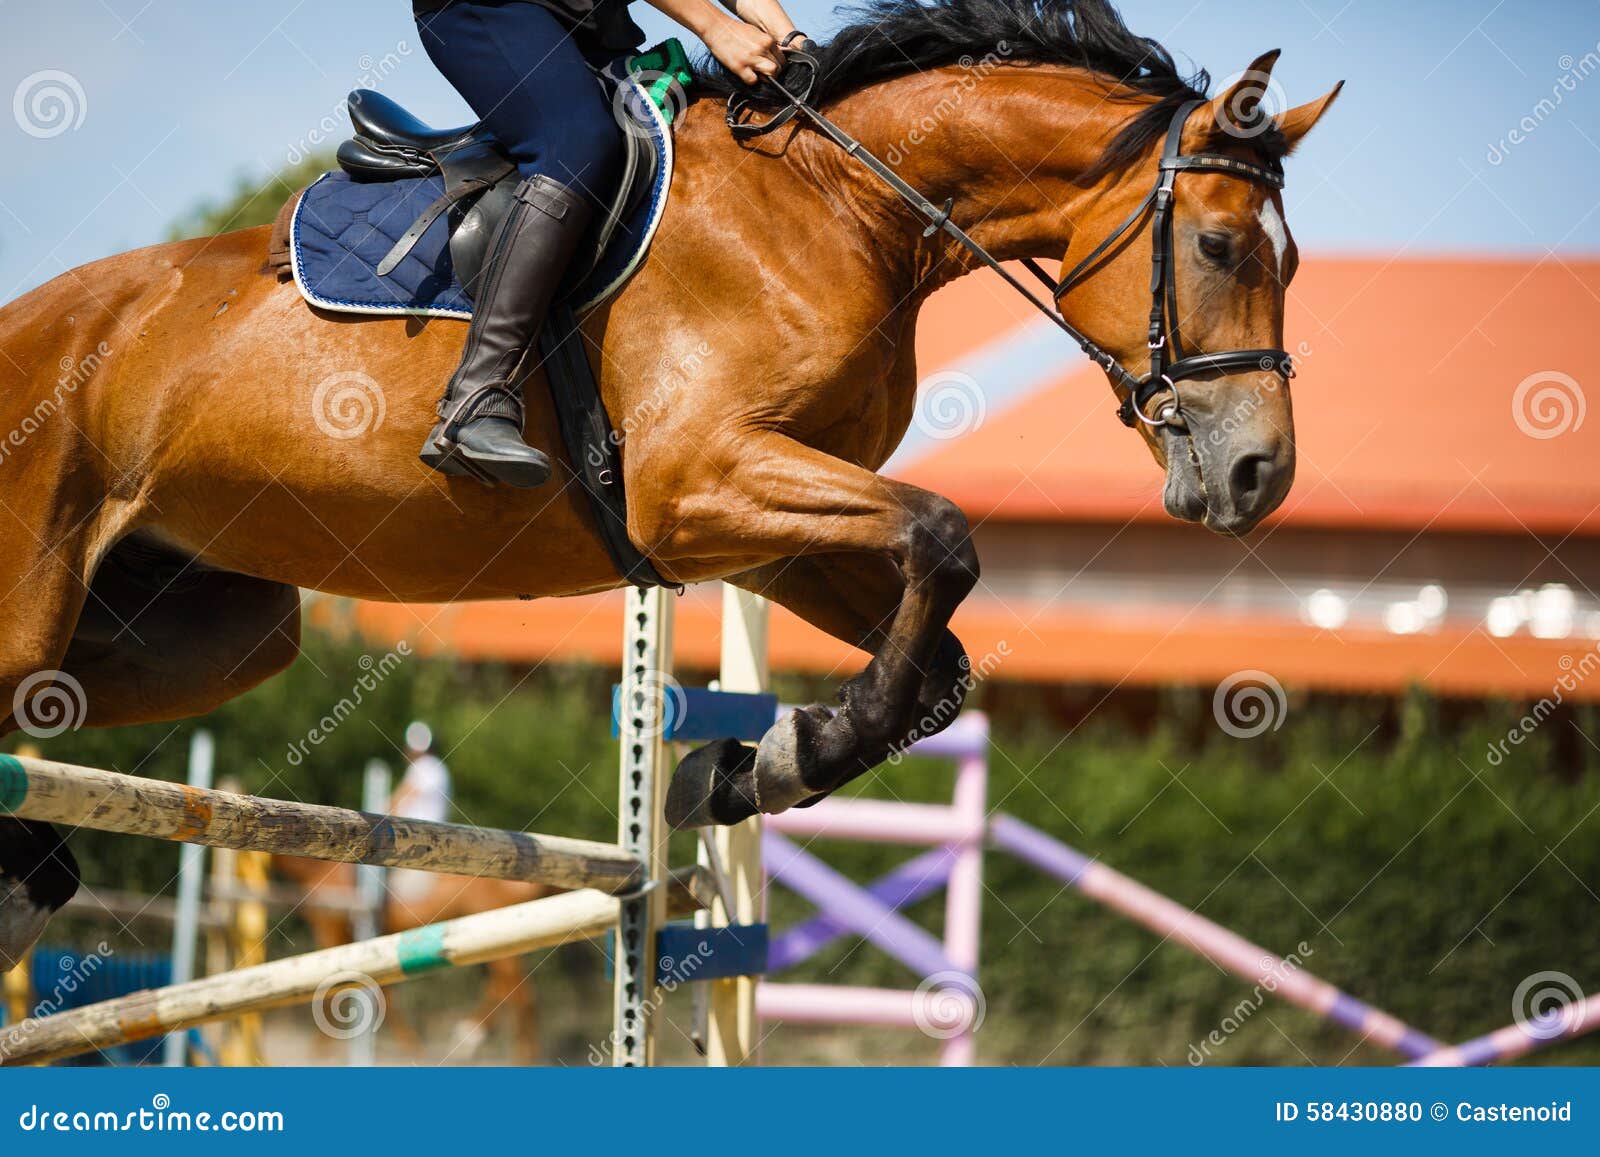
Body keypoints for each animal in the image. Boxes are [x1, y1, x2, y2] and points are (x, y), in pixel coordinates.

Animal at [0, 0, 1338, 970]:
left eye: (1290, 264)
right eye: (1219, 247)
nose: (1258, 474)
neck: (840, 209)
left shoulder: (766, 528)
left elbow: (939, 646)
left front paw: (760, 764)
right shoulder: (696, 484)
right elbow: (945, 538)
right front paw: (782, 752)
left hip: (211, 631)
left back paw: (35, 863)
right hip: (41, 595)